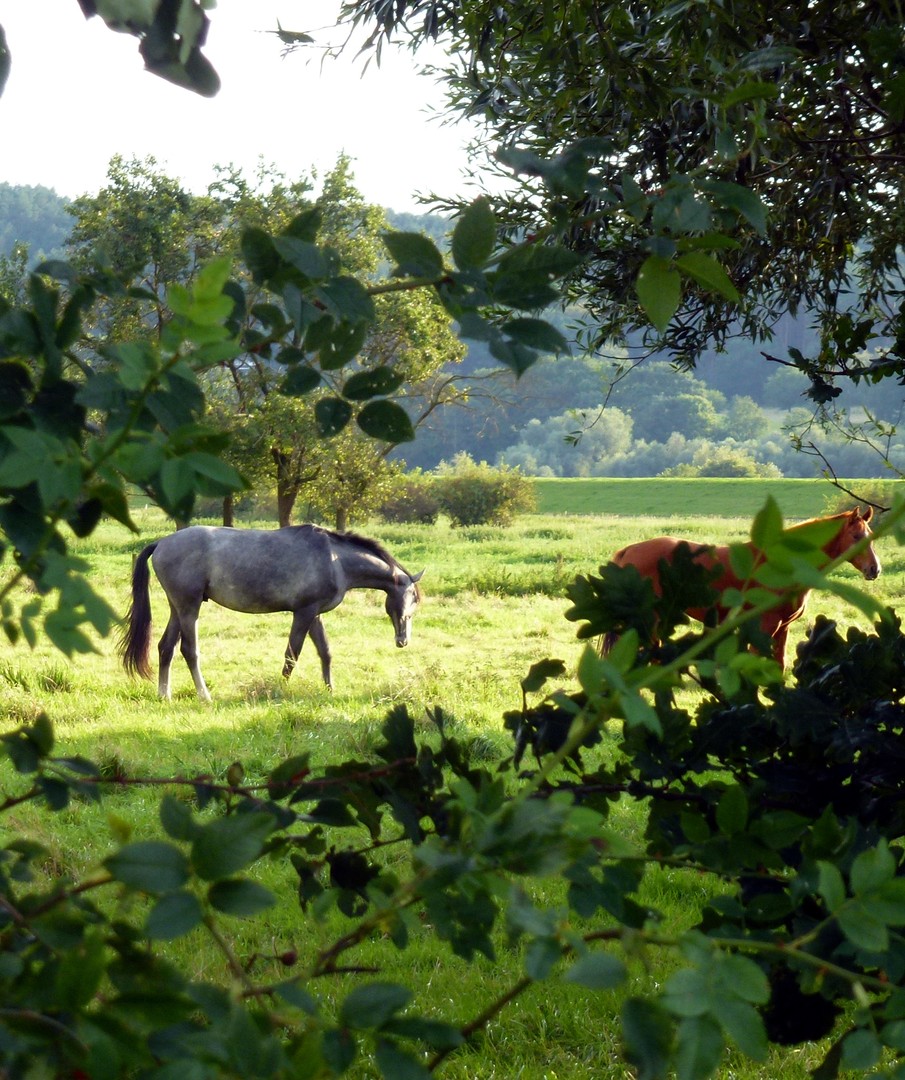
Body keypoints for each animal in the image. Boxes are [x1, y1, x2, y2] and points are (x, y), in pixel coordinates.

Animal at [604, 505, 881, 665]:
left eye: (870, 536)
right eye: (856, 536)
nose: (874, 569)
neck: (780, 564)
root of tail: (629, 550)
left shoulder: (783, 629)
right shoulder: (765, 627)